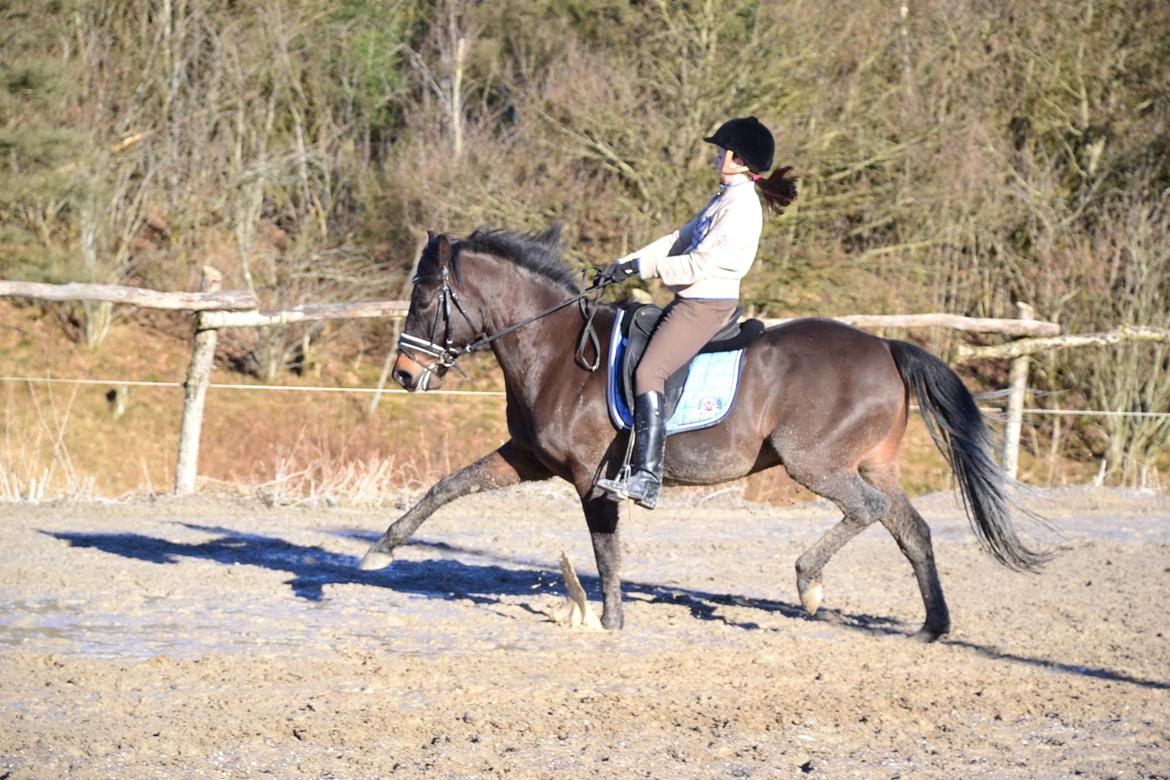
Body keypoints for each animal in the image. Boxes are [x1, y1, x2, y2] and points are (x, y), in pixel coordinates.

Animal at [359, 226, 1047, 641]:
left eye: (425, 300)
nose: (404, 375)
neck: (553, 350)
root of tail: (884, 345)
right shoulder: (526, 458)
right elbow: (449, 486)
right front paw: (381, 548)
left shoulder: (591, 478)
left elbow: (605, 547)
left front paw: (610, 619)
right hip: (870, 461)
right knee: (912, 529)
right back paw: (931, 626)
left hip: (815, 463)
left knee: (869, 511)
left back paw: (810, 585)